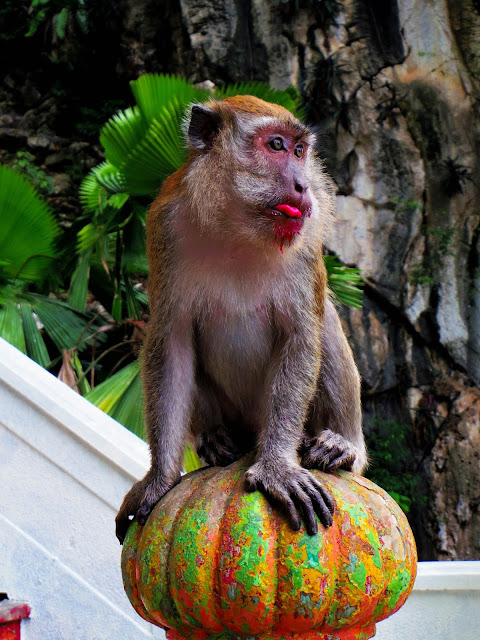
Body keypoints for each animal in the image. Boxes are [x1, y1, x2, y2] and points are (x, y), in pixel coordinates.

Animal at [115, 96, 364, 544]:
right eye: (276, 145)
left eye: (300, 151)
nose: (303, 186)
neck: (240, 230)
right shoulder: (164, 226)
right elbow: (172, 344)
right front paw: (159, 479)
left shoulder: (306, 244)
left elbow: (301, 338)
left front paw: (277, 467)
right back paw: (215, 439)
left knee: (326, 324)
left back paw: (342, 446)